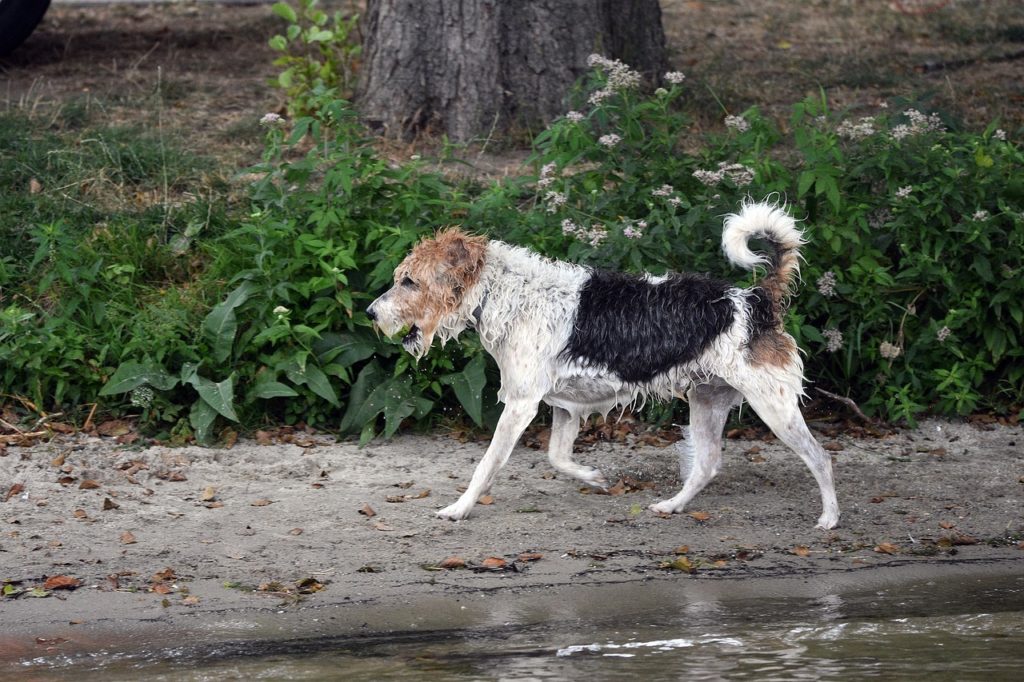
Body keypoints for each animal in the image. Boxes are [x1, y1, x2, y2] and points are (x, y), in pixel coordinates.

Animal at [368, 201, 839, 524]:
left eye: (409, 281)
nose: (371, 313)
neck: (505, 296)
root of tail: (755, 300)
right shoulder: (563, 406)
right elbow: (557, 458)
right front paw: (594, 477)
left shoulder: (521, 404)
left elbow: (486, 466)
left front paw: (459, 508)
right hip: (707, 401)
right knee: (706, 466)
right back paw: (670, 505)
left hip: (773, 406)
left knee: (820, 458)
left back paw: (830, 519)